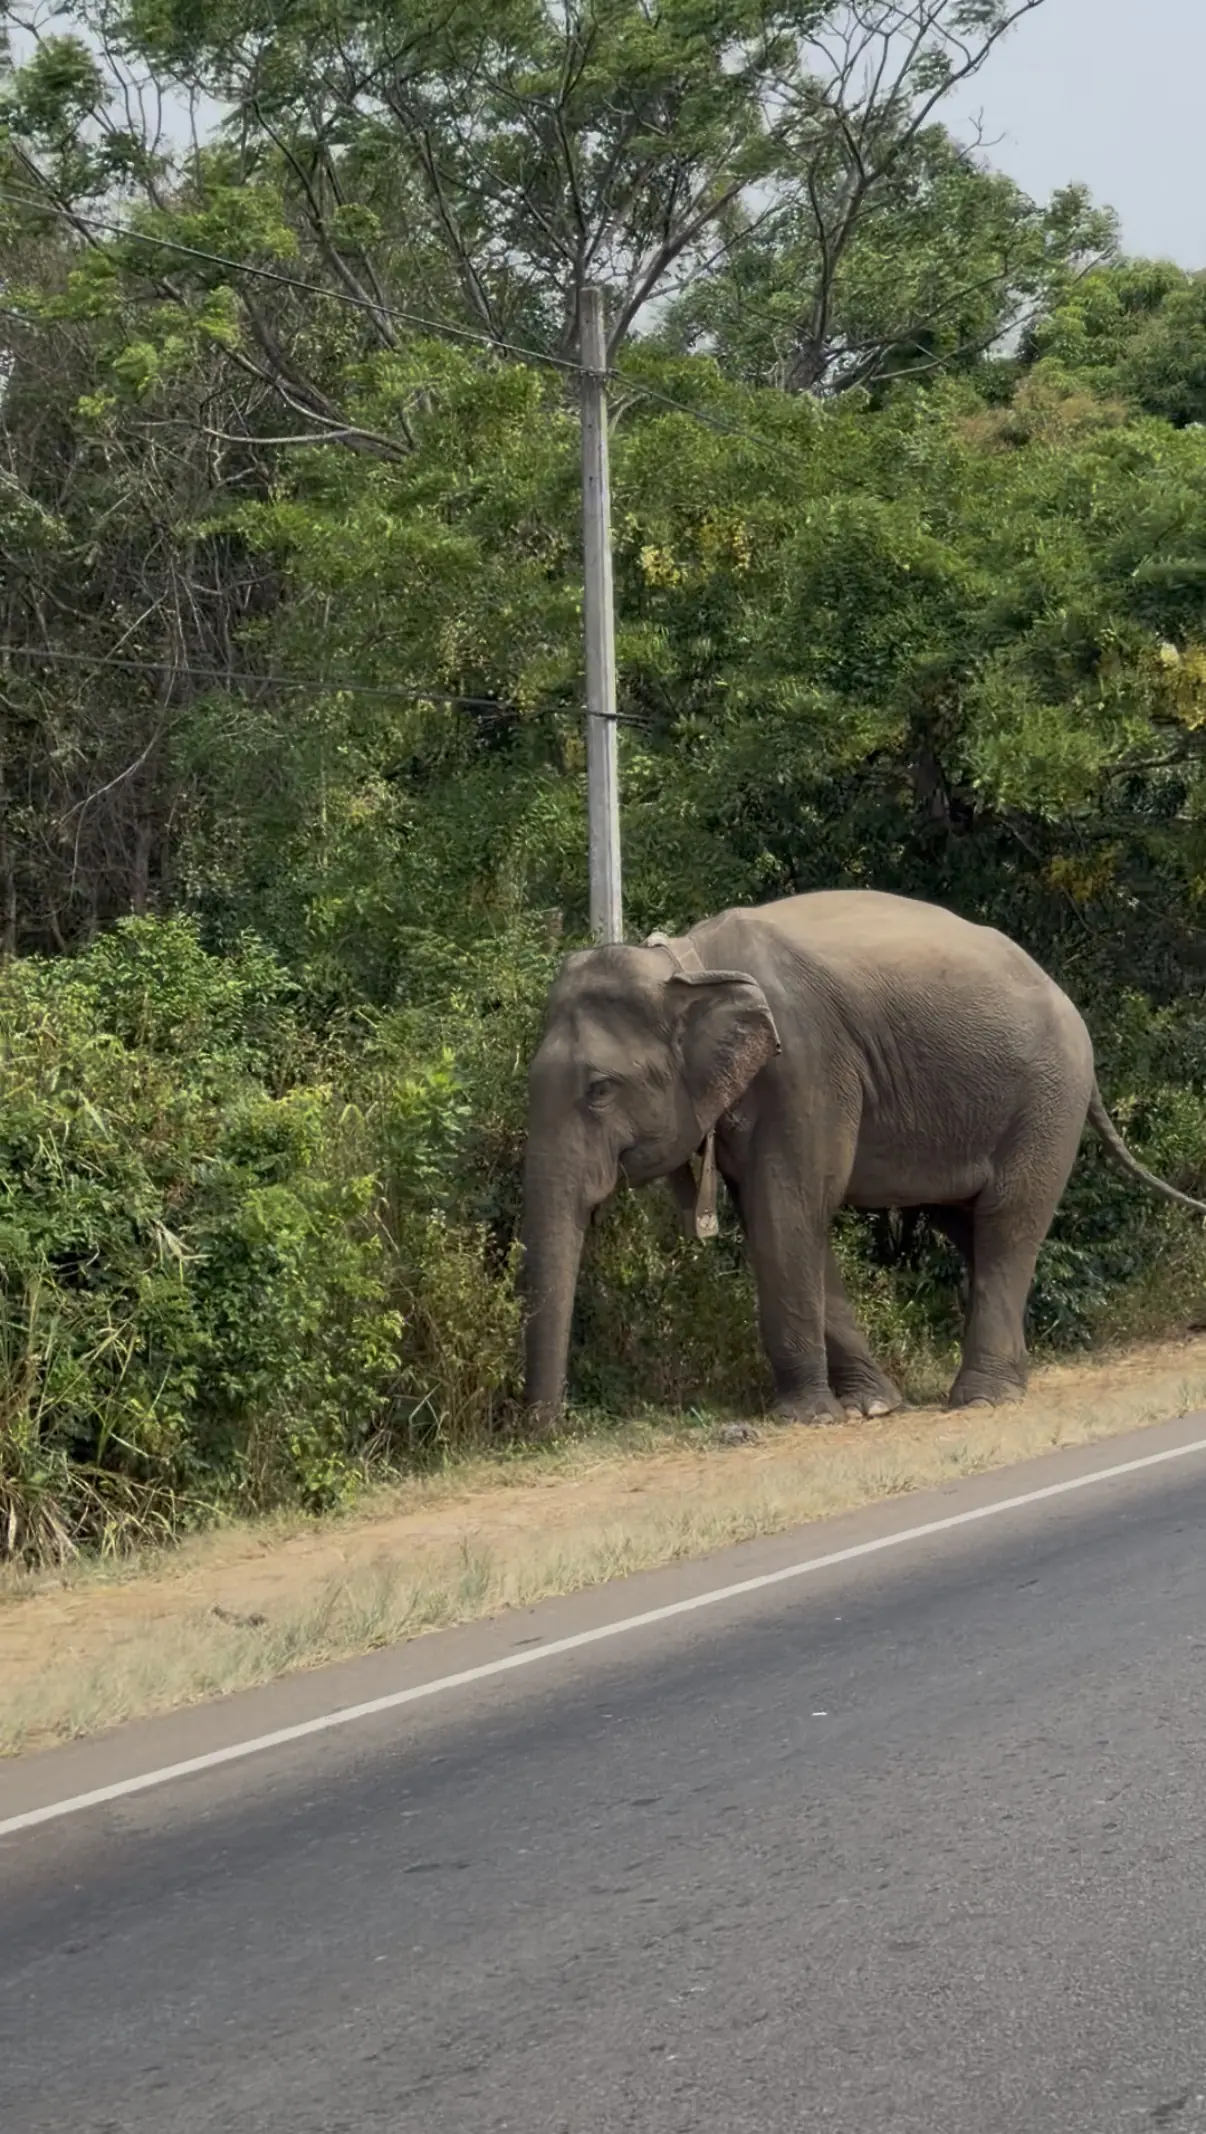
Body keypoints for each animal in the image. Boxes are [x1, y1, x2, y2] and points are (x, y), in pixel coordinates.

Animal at [521, 888, 1206, 1423]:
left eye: (599, 1089)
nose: (548, 1431)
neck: (684, 963)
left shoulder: (806, 1067)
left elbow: (789, 1211)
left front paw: (807, 1418)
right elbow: (780, 1220)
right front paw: (872, 1406)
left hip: (1046, 1098)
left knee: (1007, 1221)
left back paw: (983, 1399)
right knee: (968, 1226)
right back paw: (1008, 1383)